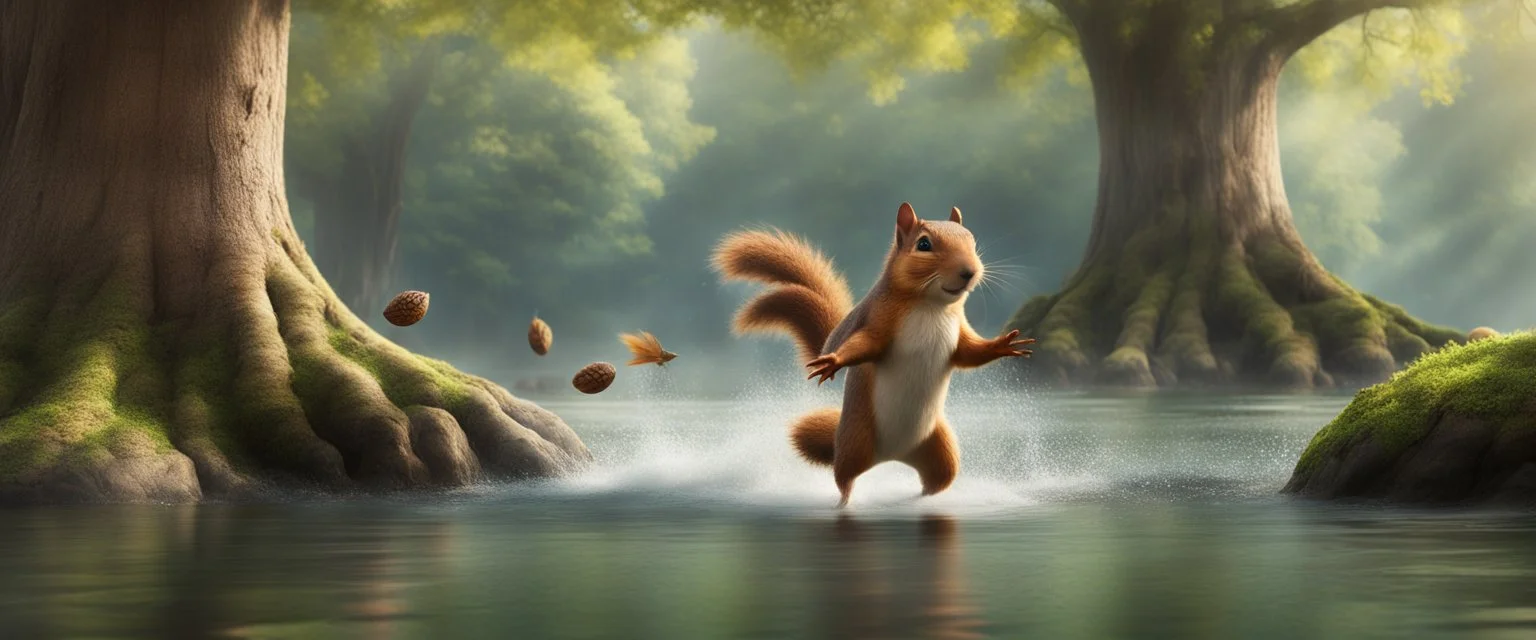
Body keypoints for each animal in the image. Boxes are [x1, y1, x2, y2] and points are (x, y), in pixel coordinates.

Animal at [713, 202, 1034, 507]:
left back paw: (922, 500)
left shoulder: (959, 334)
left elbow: (970, 353)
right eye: (924, 244)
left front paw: (1003, 345)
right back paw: (845, 503)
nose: (969, 272)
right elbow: (865, 346)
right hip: (856, 442)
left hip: (940, 449)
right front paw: (833, 361)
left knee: (937, 481)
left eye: (972, 240)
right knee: (844, 478)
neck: (931, 306)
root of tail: (893, 457)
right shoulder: (879, 321)